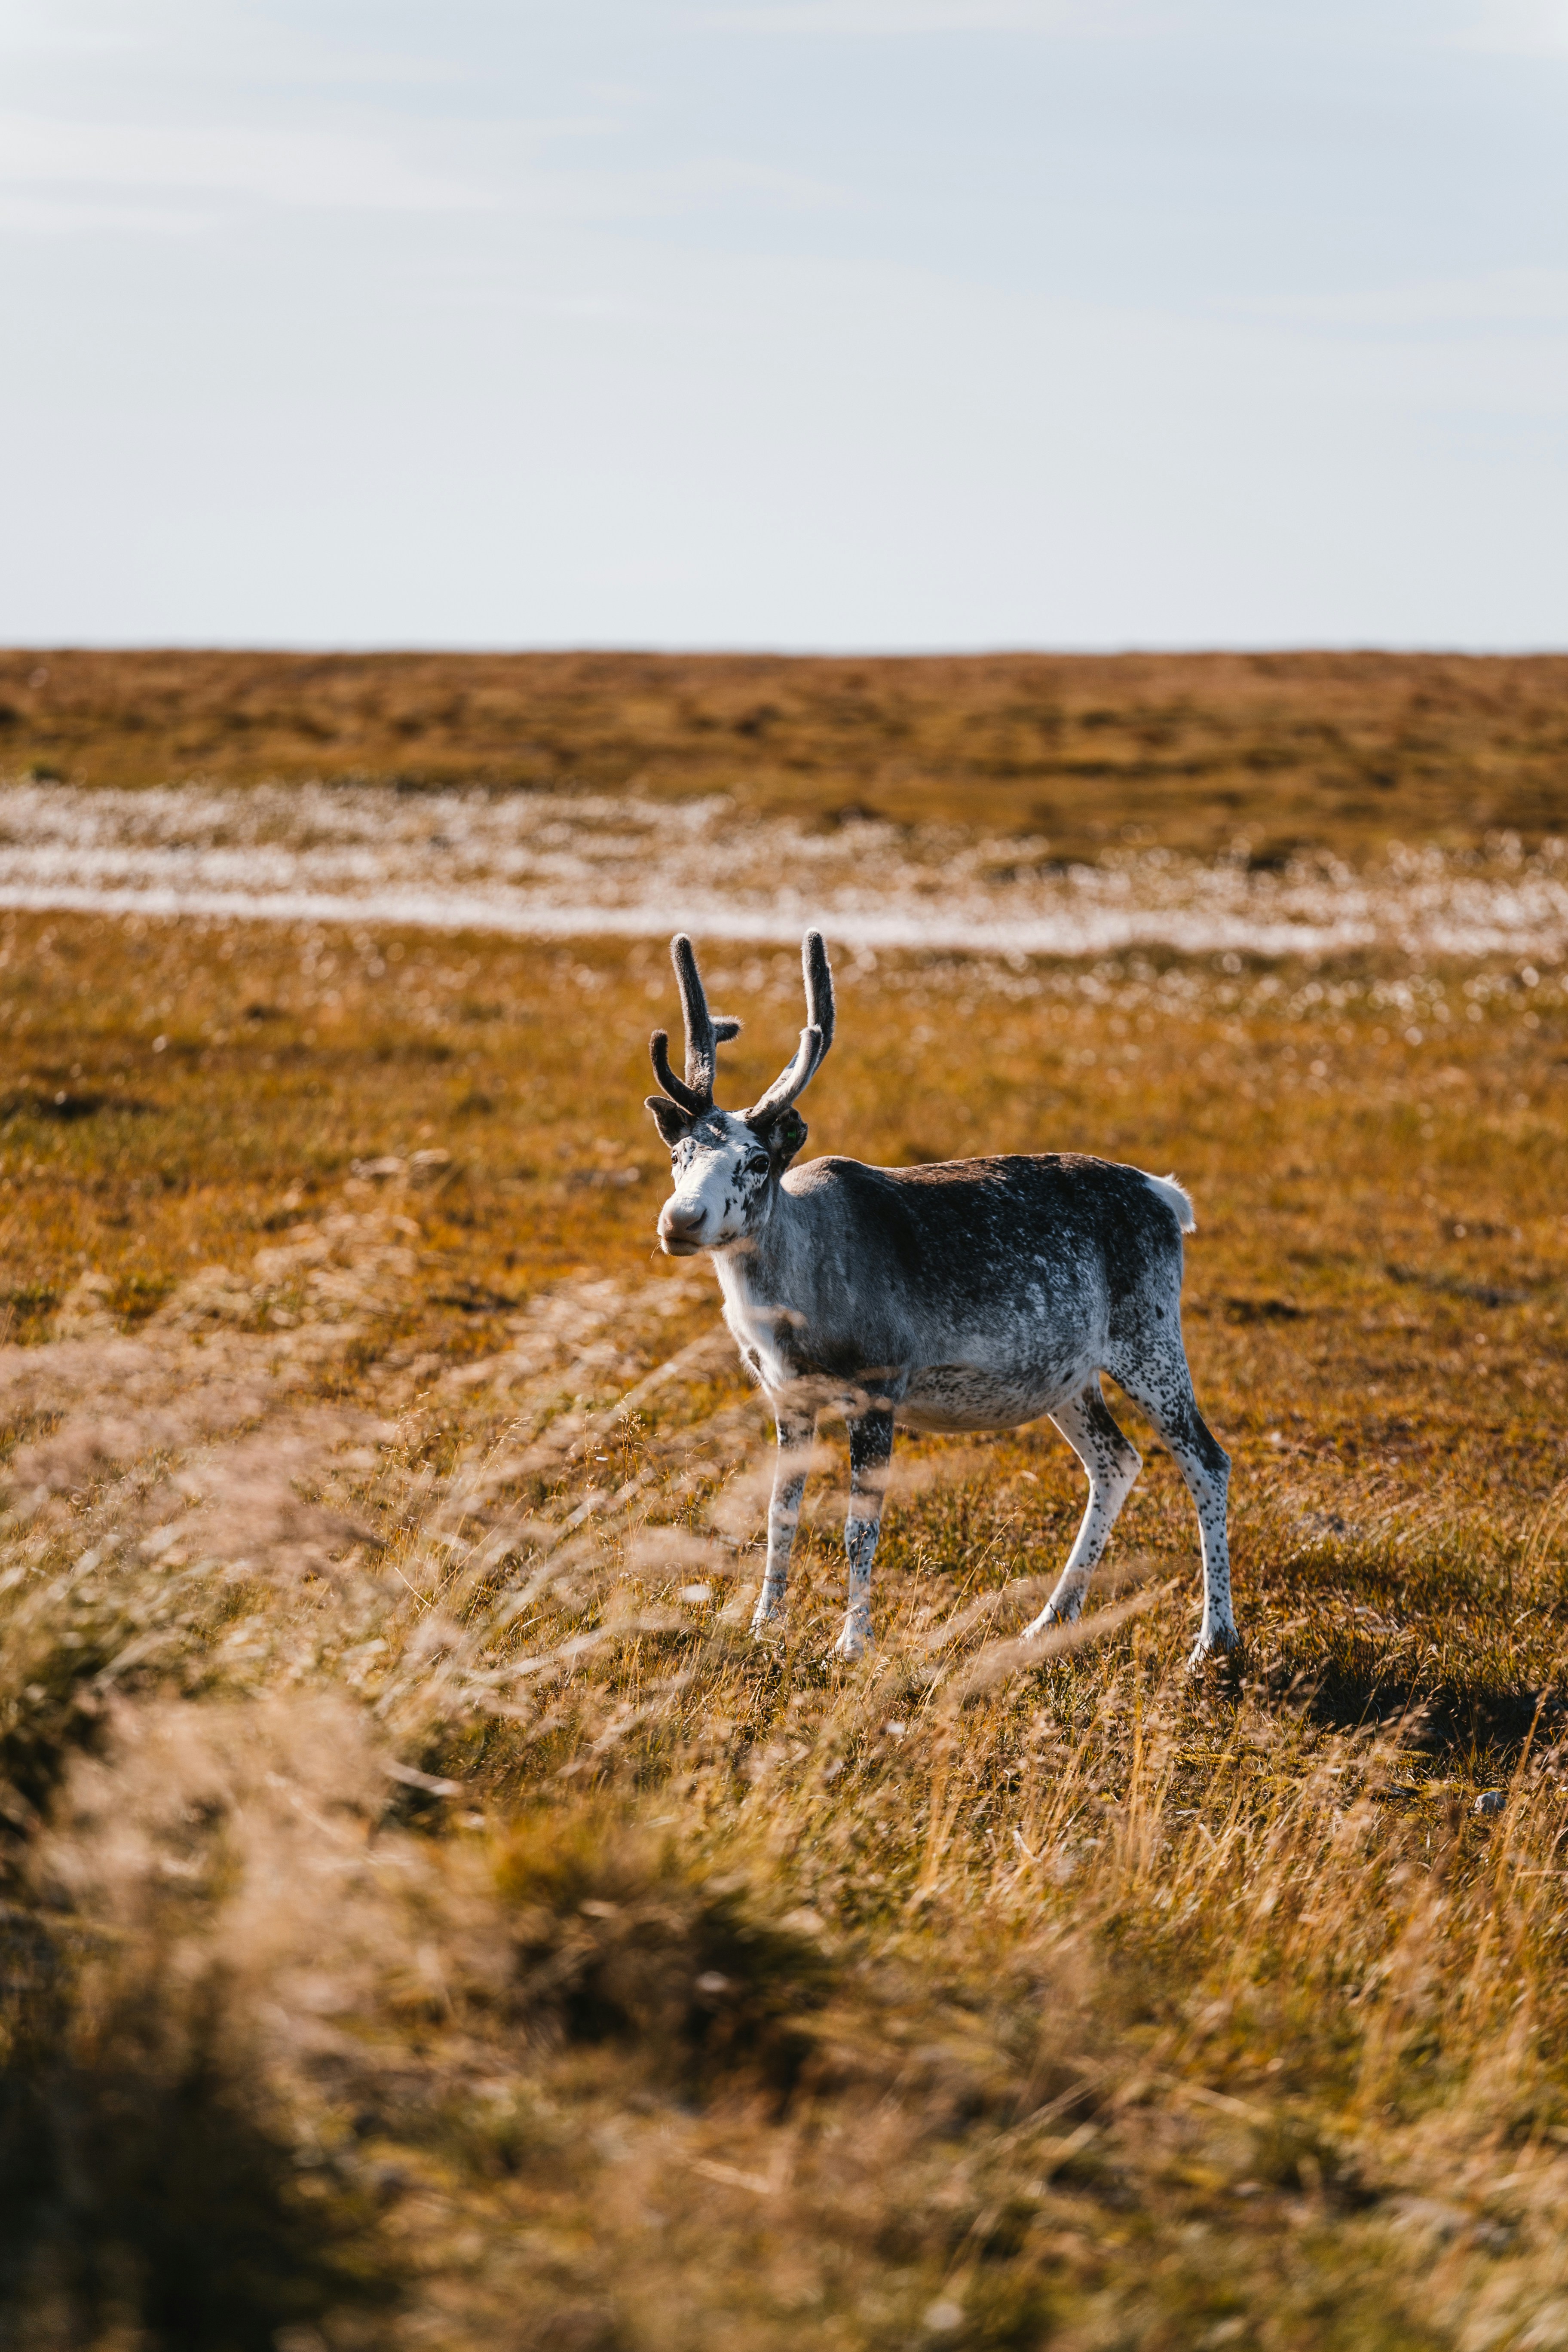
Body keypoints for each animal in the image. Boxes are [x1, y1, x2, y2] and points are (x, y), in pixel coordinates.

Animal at [644, 930, 1237, 1667]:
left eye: (756, 1161)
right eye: (679, 1156)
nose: (681, 1220)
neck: (790, 1313)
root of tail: (1167, 1197)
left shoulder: (879, 1385)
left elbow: (858, 1528)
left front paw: (852, 1644)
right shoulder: (788, 1396)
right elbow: (780, 1515)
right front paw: (762, 1626)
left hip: (1150, 1336)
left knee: (1206, 1458)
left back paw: (1213, 1640)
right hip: (1069, 1375)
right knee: (1116, 1460)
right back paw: (1049, 1620)